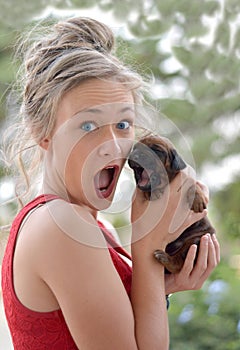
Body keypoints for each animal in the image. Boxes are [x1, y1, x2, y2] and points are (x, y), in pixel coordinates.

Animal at [128, 134, 215, 274]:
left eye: (157, 150)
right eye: (135, 148)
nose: (134, 155)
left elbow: (194, 183)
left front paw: (197, 198)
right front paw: (154, 192)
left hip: (198, 240)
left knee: (179, 262)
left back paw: (166, 258)